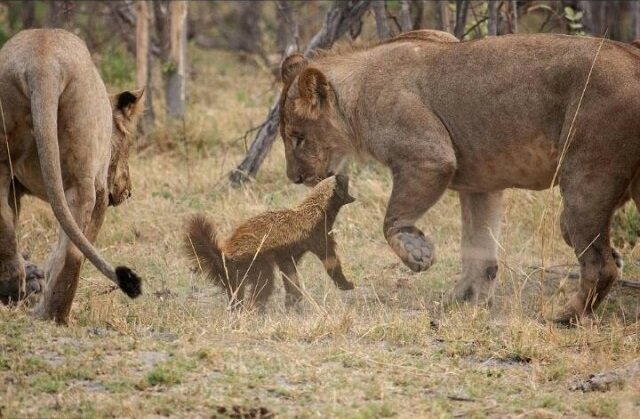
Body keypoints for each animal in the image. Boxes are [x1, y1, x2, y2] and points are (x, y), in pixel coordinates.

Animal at [0, 29, 142, 324]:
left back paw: (12, 289)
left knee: (4, 220)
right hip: (83, 178)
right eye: (128, 143)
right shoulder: (100, 190)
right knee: (73, 251)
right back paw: (54, 315)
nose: (128, 191)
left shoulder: (15, 188)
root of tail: (42, 61)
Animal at [184, 176, 356, 310]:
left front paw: (293, 302)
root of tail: (225, 255)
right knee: (263, 285)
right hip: (257, 263)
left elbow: (290, 276)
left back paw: (237, 311)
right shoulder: (318, 236)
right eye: (343, 182)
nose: (345, 174)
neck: (317, 208)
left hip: (235, 276)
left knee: (236, 294)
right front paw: (347, 284)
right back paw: (255, 311)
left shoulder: (287, 255)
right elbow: (331, 261)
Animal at [280, 30, 640, 324]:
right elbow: (478, 251)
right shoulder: (481, 184)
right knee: (588, 246)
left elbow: (392, 220)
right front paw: (462, 301)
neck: (355, 95)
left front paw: (418, 254)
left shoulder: (429, 156)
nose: (295, 178)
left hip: (586, 178)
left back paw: (565, 316)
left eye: (297, 137)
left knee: (599, 264)